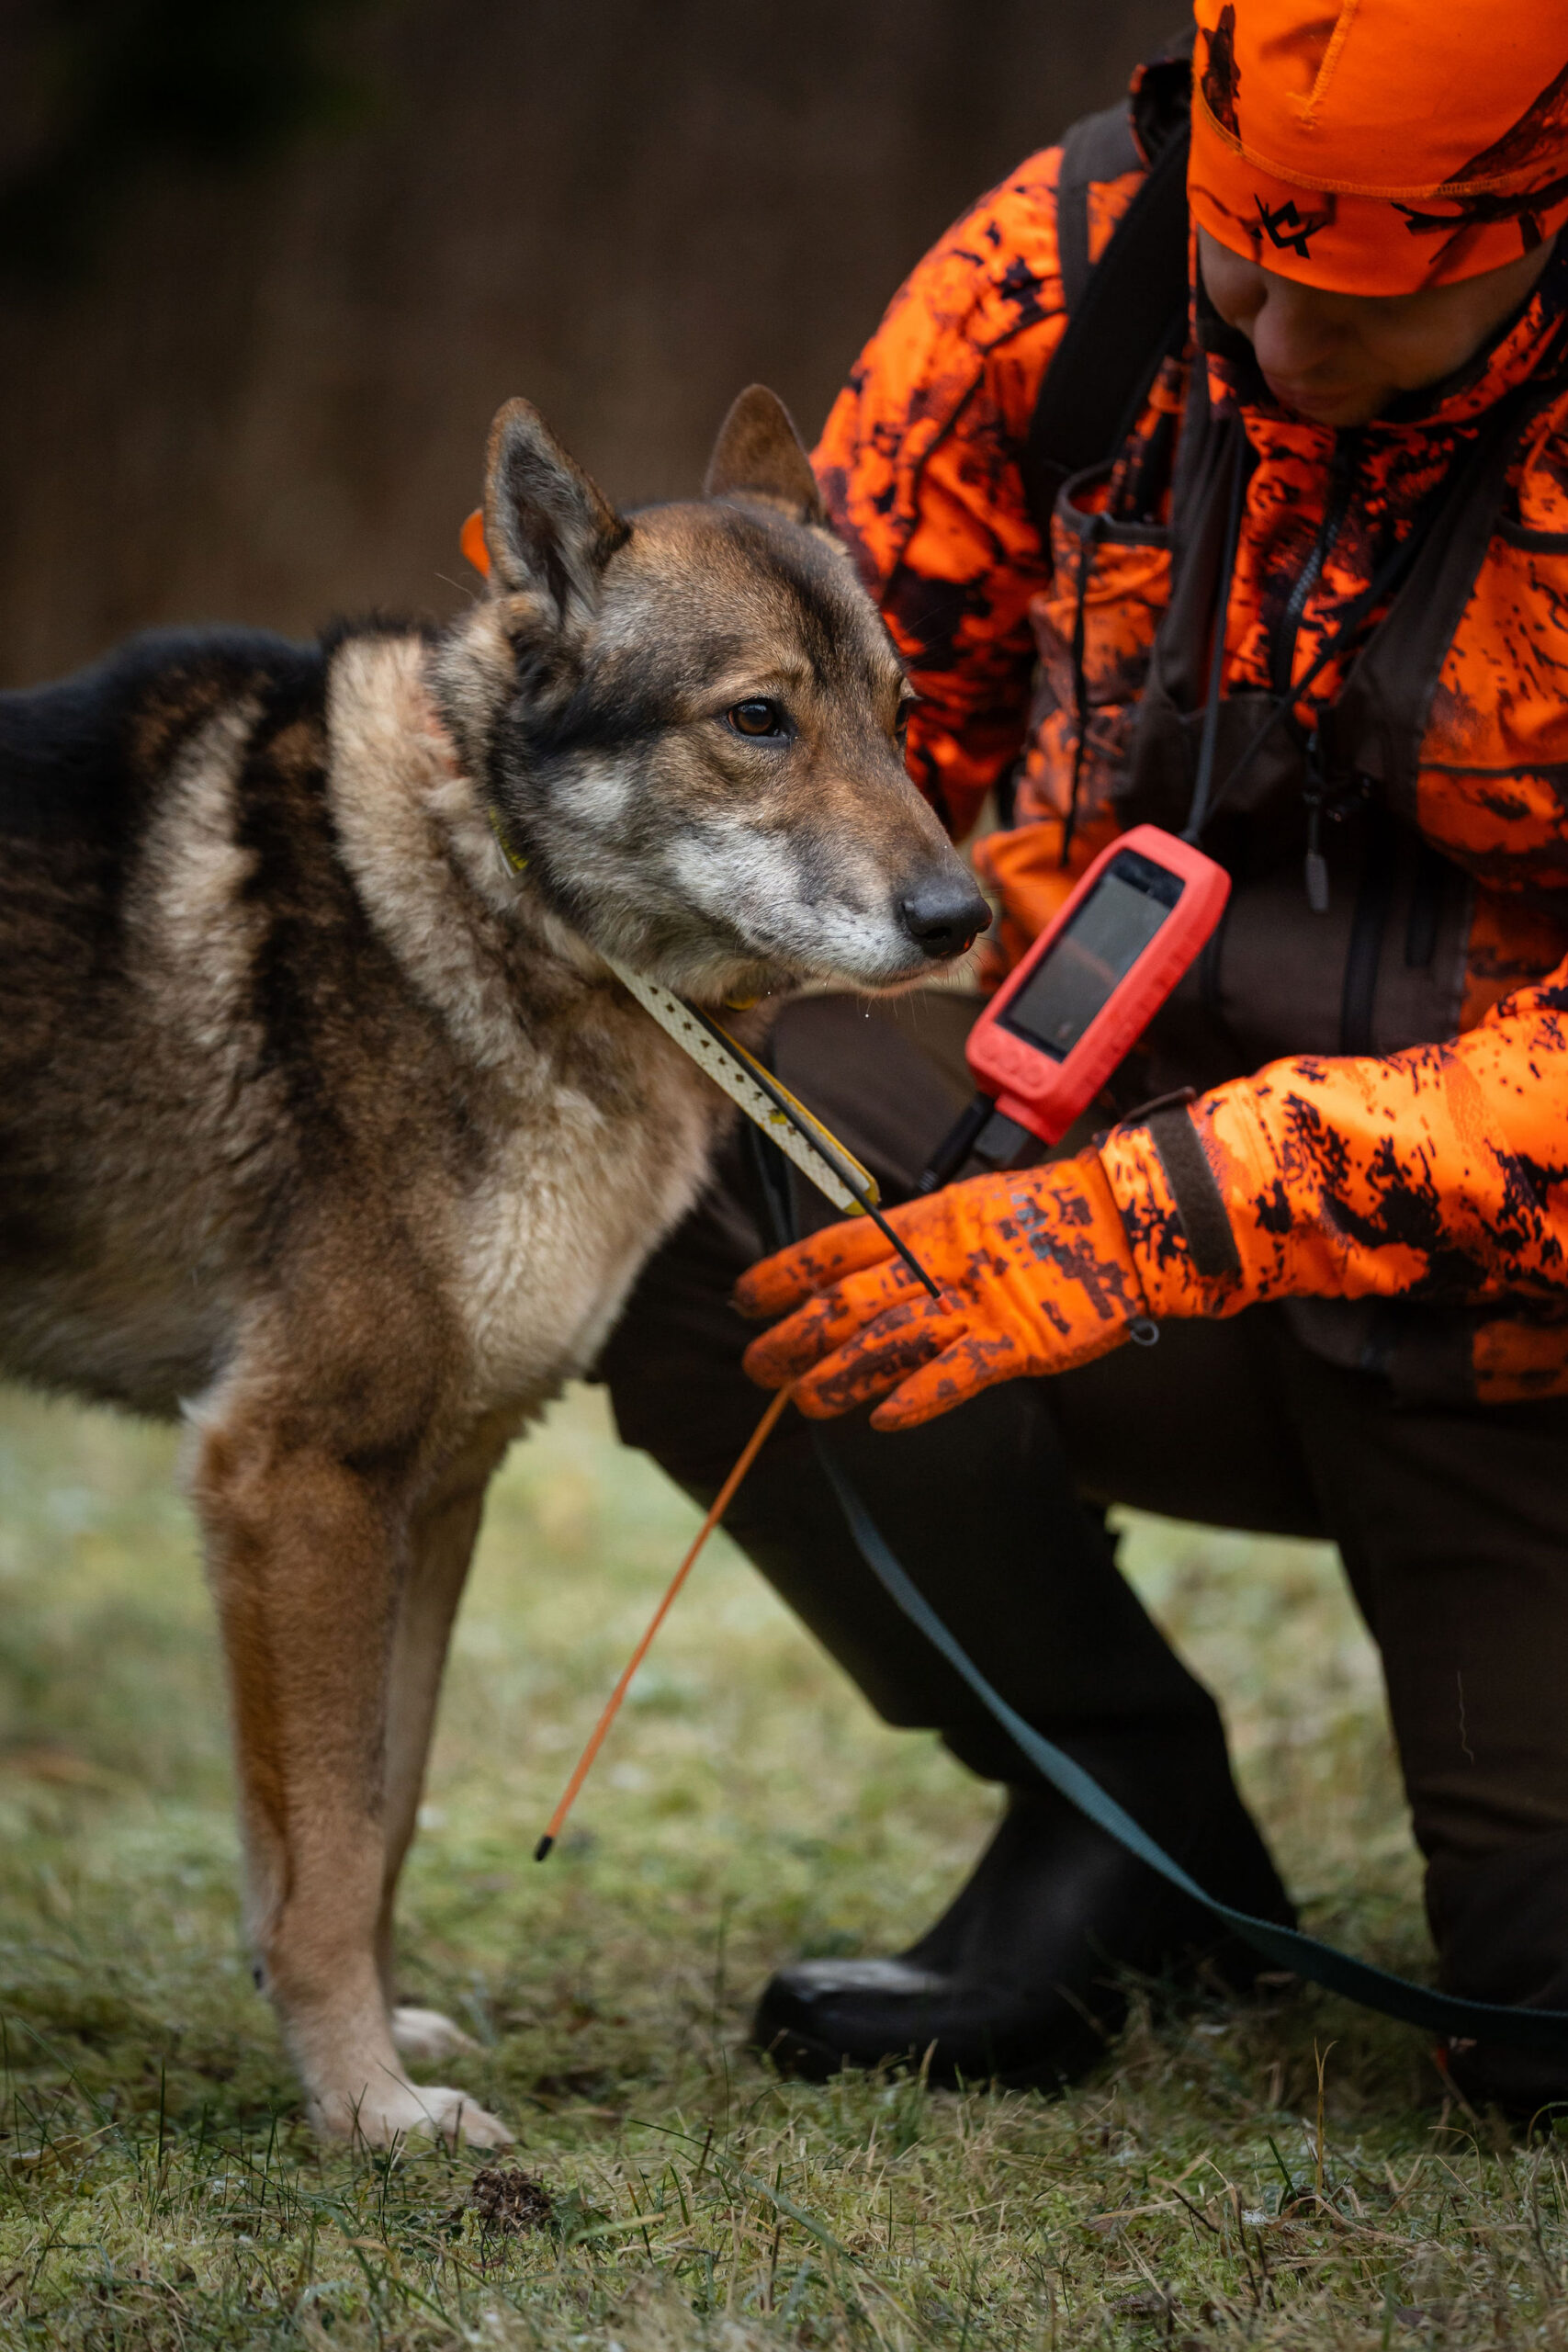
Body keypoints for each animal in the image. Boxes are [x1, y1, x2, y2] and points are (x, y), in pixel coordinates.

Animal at [0, 387, 987, 2146]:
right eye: (757, 720)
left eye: (901, 711)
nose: (966, 918)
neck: (495, 894)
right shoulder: (293, 1475)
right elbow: (327, 1844)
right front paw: (368, 2117)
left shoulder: (439, 1481)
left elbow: (378, 1819)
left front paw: (370, 2048)